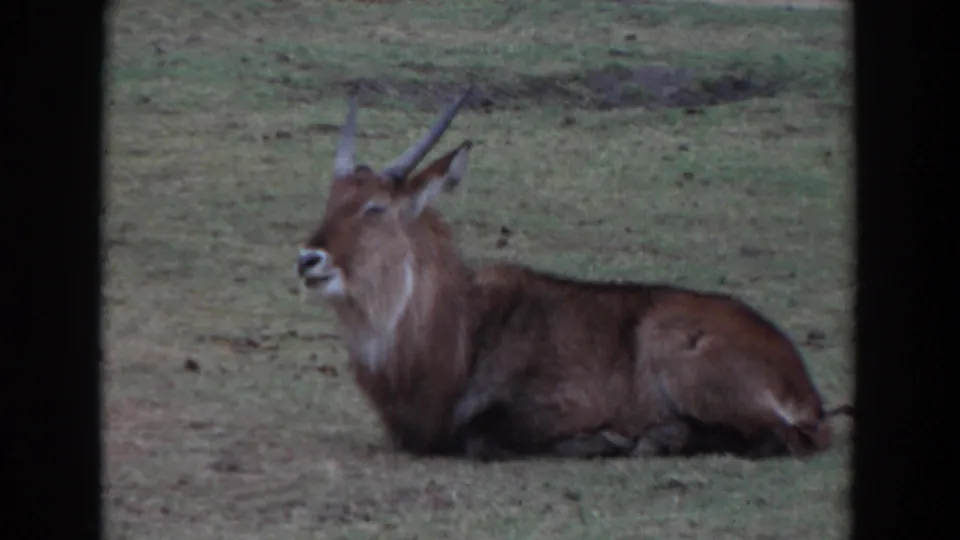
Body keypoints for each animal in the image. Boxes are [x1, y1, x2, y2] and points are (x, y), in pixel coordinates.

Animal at [296, 89, 853, 460]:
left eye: (375, 208)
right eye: (330, 201)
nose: (308, 259)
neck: (459, 332)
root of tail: (799, 377)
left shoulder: (559, 404)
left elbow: (483, 436)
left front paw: (605, 438)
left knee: (787, 437)